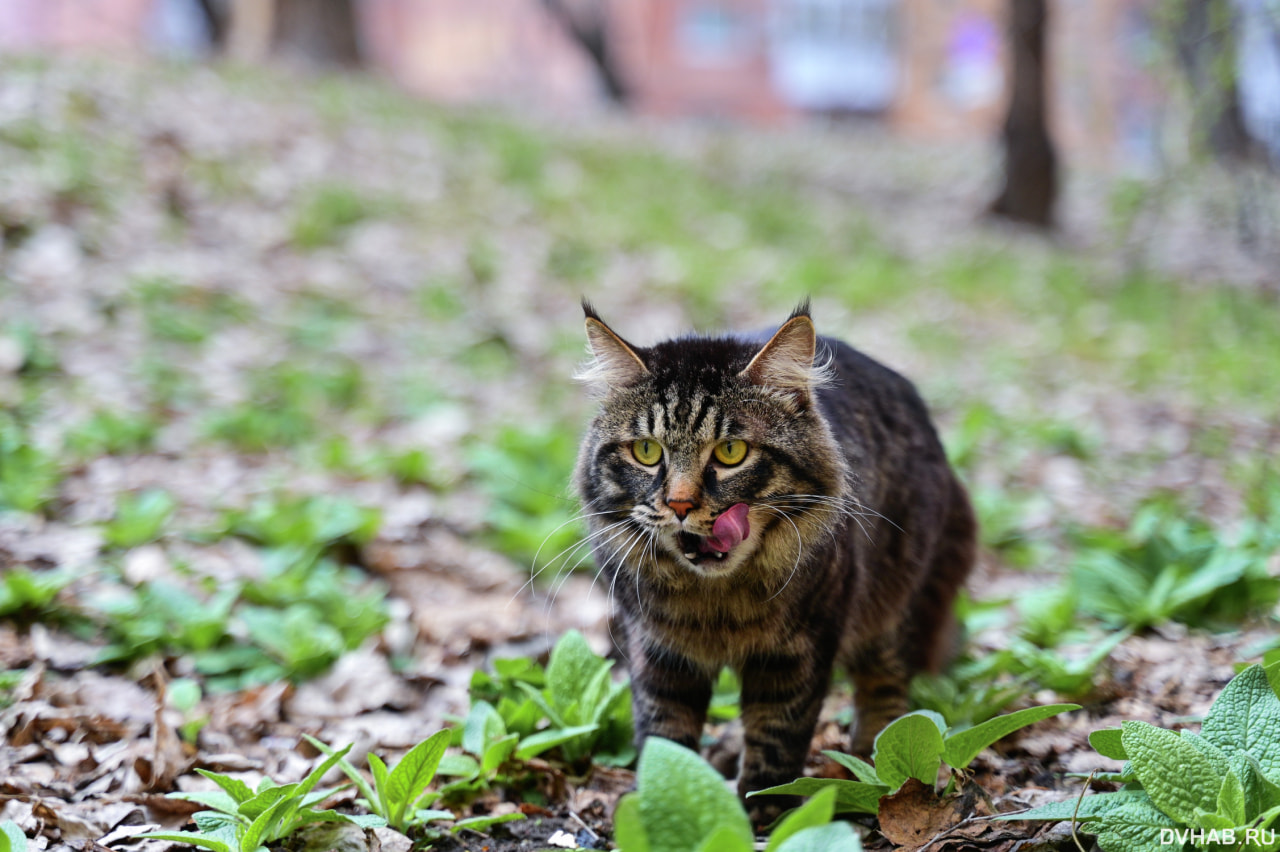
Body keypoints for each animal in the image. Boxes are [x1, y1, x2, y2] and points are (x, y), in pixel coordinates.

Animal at [576, 300, 972, 823]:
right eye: (647, 451)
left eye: (731, 452)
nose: (679, 505)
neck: (717, 602)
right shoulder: (658, 651)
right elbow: (665, 736)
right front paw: (667, 802)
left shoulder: (796, 653)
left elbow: (777, 735)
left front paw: (766, 813)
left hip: (897, 600)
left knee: (887, 690)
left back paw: (879, 768)